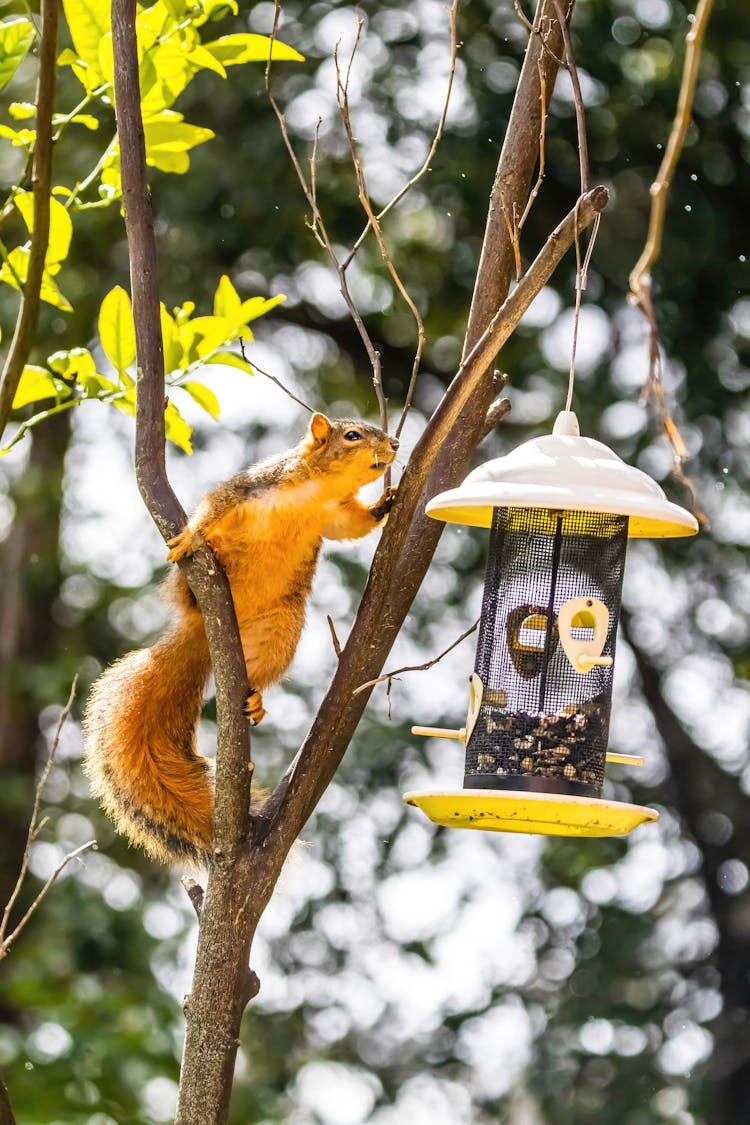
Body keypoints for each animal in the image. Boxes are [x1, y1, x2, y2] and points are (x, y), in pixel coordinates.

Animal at [82, 416, 398, 868]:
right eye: (352, 436)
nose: (395, 443)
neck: (316, 490)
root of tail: (204, 635)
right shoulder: (251, 487)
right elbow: (214, 506)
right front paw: (191, 536)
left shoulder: (333, 516)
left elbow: (352, 527)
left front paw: (383, 505)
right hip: (196, 590)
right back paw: (208, 556)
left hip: (281, 628)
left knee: (261, 670)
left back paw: (257, 698)